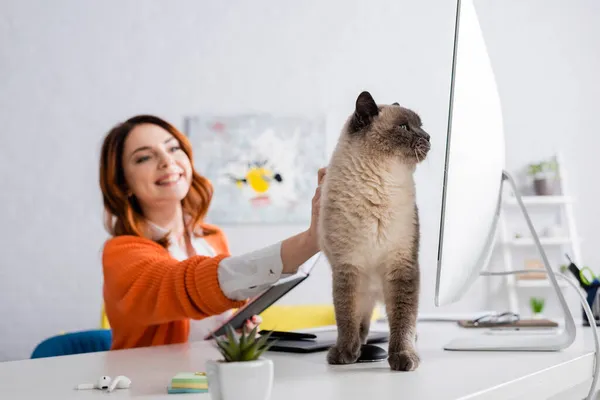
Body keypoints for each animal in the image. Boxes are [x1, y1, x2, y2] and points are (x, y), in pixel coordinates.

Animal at [318, 90, 432, 372]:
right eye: (404, 127)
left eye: (420, 126)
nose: (428, 137)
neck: (382, 182)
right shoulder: (348, 269)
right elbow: (346, 318)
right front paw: (344, 355)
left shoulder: (402, 266)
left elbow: (403, 320)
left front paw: (403, 358)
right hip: (363, 290)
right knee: (361, 322)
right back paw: (356, 349)